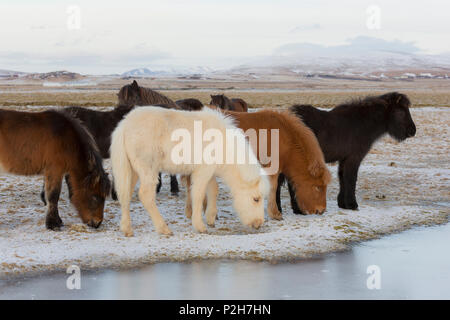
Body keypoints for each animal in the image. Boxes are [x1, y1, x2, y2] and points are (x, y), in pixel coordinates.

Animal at [110, 106, 268, 236]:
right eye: (256, 199)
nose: (259, 223)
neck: (223, 145)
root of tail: (124, 125)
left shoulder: (209, 172)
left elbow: (213, 190)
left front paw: (210, 218)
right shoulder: (202, 171)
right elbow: (198, 194)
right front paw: (200, 226)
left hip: (132, 170)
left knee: (125, 194)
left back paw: (127, 229)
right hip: (148, 169)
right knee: (146, 195)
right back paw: (163, 228)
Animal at [185, 108, 330, 222]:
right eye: (317, 187)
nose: (321, 210)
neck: (284, 138)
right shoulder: (272, 169)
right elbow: (273, 188)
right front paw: (275, 213)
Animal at [276, 91, 416, 214]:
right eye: (401, 111)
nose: (413, 130)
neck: (362, 123)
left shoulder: (344, 159)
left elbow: (342, 178)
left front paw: (343, 204)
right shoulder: (354, 158)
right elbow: (351, 179)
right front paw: (352, 204)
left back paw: (297, 210)